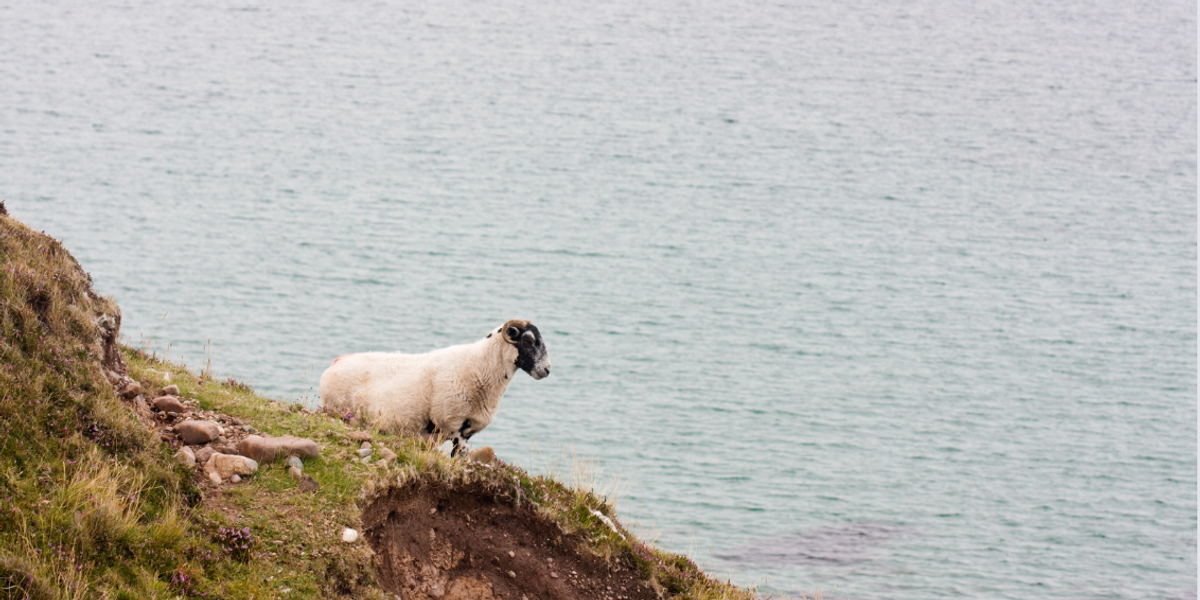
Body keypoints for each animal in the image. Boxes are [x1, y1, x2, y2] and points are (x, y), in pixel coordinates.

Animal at [319, 319, 551, 456]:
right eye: (528, 341)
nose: (547, 369)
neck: (479, 366)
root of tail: (337, 362)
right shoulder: (452, 424)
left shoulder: (467, 430)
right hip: (339, 410)